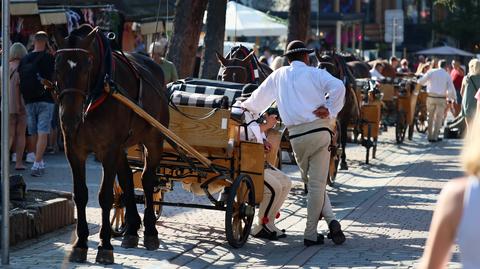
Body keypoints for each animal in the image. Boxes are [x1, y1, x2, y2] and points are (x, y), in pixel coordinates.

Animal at [52, 24, 168, 262]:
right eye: (57, 67)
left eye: (86, 67)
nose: (69, 118)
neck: (99, 92)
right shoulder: (74, 150)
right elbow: (81, 195)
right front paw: (81, 243)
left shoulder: (109, 150)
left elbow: (105, 196)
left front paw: (104, 245)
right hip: (123, 147)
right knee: (127, 179)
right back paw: (131, 230)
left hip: (154, 140)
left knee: (147, 180)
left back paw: (150, 231)